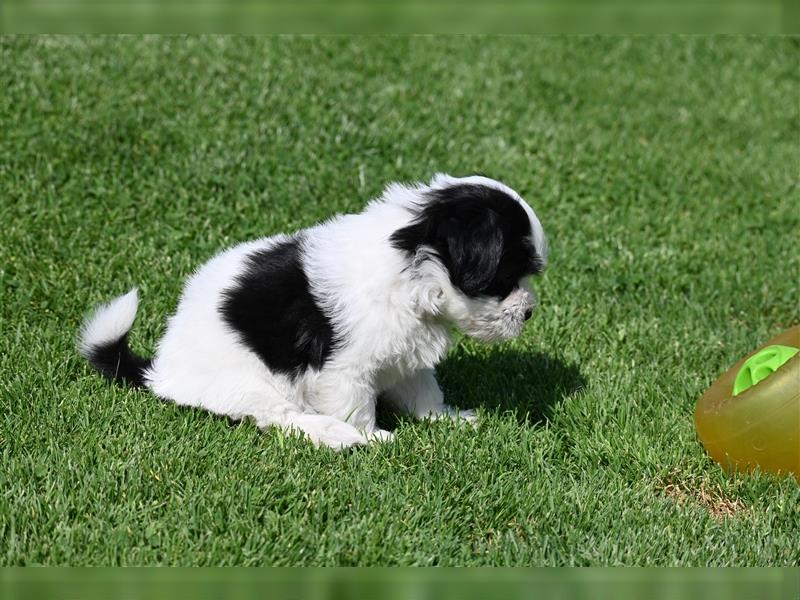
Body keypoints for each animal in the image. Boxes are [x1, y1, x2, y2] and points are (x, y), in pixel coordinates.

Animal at [78, 172, 548, 446]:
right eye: (507, 278)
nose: (529, 312)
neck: (410, 273)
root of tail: (159, 371)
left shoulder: (405, 349)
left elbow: (421, 388)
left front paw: (444, 418)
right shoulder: (344, 368)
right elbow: (355, 403)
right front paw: (373, 437)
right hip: (247, 381)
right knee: (278, 417)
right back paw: (334, 434)